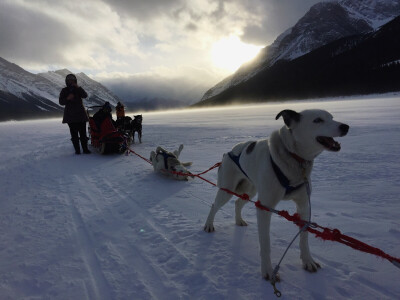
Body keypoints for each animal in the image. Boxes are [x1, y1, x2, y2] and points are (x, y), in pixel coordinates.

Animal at [205, 109, 348, 280]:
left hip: (251, 191)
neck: (293, 158)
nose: (345, 126)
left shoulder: (304, 205)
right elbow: (265, 243)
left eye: (332, 117)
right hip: (227, 190)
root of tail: (229, 152)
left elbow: (304, 238)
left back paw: (239, 220)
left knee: (238, 203)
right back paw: (208, 225)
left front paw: (308, 261)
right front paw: (267, 270)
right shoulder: (264, 208)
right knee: (214, 205)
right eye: (318, 120)